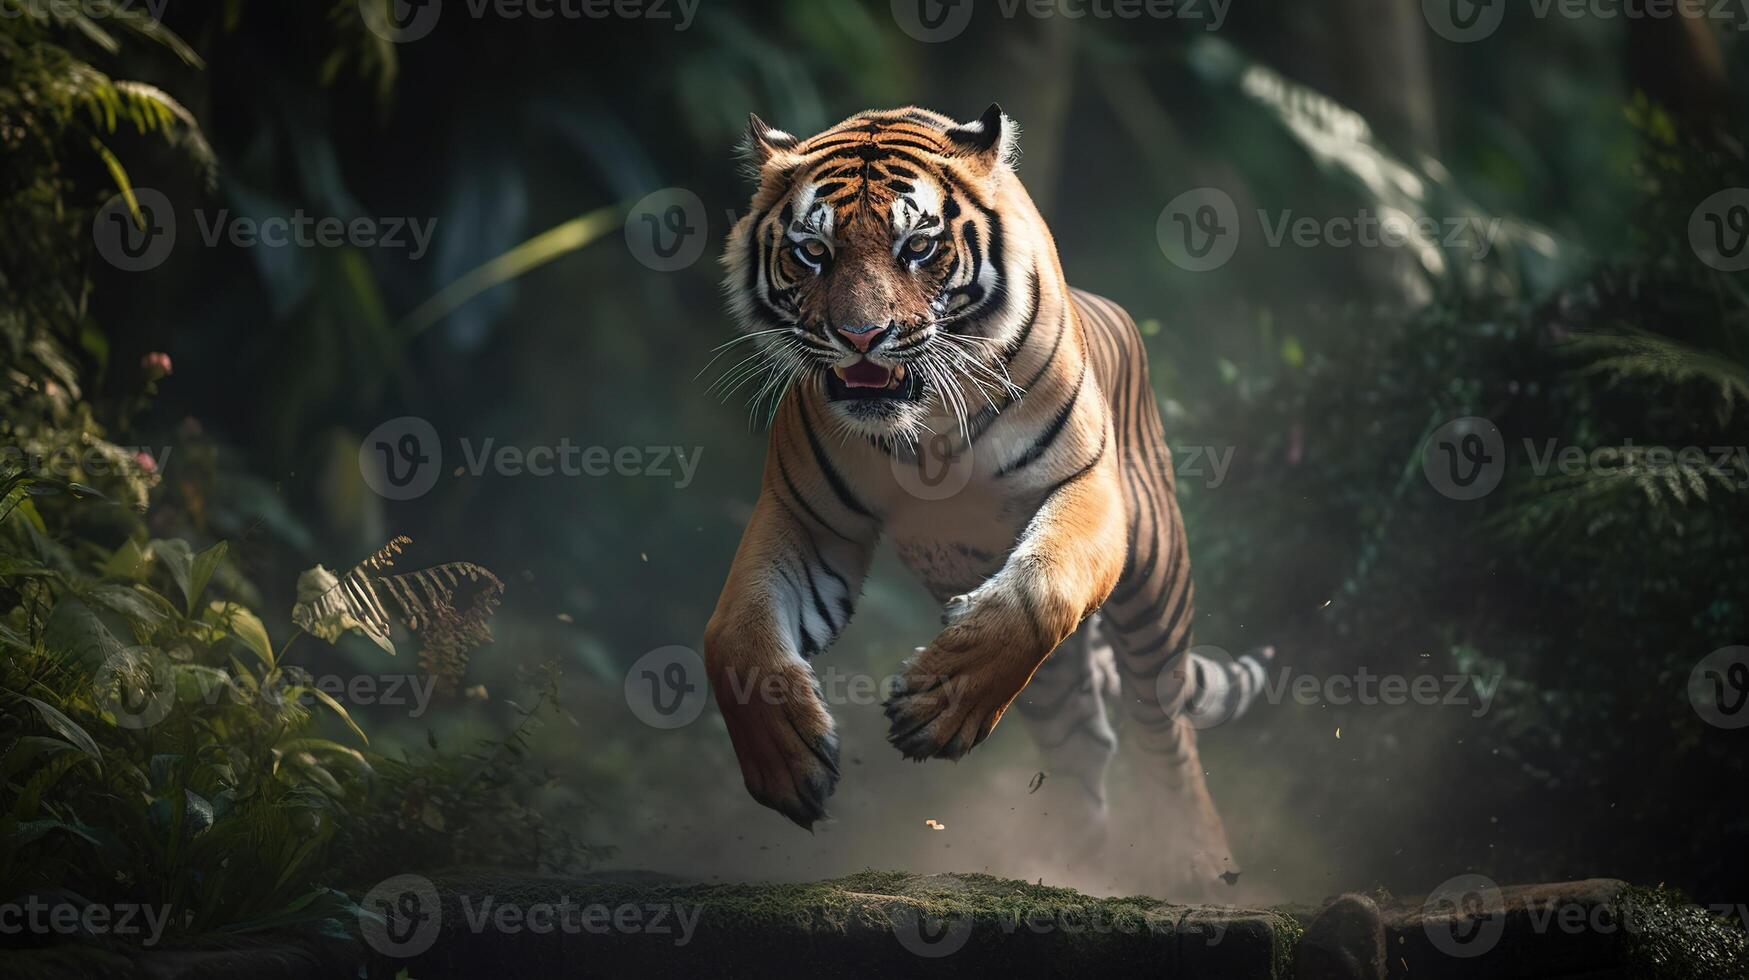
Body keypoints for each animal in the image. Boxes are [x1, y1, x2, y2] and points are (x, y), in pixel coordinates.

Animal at [706, 105, 1273, 889]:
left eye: (917, 246)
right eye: (813, 252)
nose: (860, 337)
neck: (924, 431)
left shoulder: (1085, 488)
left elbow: (1041, 589)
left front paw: (938, 700)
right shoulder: (804, 518)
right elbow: (732, 635)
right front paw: (787, 759)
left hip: (1157, 586)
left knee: (1166, 729)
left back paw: (1198, 861)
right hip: (1059, 686)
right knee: (1081, 745)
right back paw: (1076, 865)